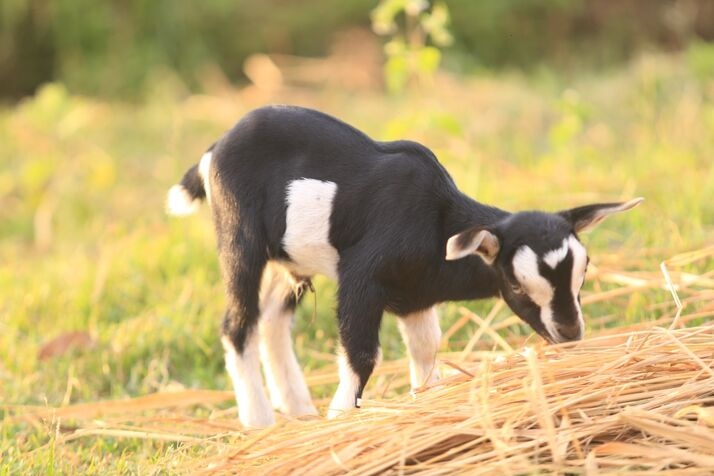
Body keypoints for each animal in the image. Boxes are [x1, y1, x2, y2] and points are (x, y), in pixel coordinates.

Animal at [166, 105, 642, 428]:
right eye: (519, 287)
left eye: (581, 277)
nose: (570, 333)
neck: (436, 222)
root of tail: (214, 150)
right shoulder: (361, 278)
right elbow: (362, 354)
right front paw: (341, 418)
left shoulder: (415, 296)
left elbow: (426, 347)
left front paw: (423, 399)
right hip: (239, 235)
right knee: (238, 322)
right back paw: (260, 420)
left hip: (292, 260)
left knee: (271, 317)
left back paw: (298, 410)